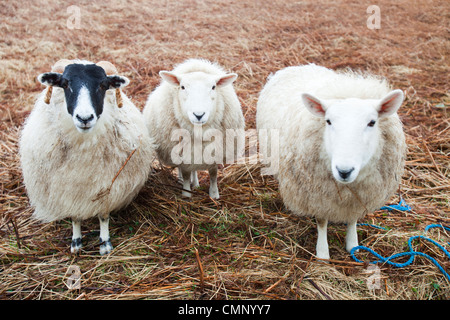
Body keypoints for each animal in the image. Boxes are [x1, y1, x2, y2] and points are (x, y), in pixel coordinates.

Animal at [19, 59, 155, 255]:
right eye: (64, 84)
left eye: (103, 85)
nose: (85, 118)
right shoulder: (69, 192)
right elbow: (75, 217)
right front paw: (76, 242)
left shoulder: (107, 189)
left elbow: (104, 216)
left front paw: (105, 244)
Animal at [143, 57, 244, 198]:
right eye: (182, 87)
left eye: (213, 87)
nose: (199, 115)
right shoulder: (183, 154)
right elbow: (186, 174)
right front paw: (186, 194)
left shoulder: (215, 151)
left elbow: (213, 174)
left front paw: (214, 194)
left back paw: (196, 184)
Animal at [256, 63, 408, 260]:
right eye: (328, 121)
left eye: (372, 122)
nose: (344, 171)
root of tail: (298, 66)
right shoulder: (317, 195)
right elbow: (322, 221)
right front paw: (322, 253)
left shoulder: (358, 195)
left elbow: (352, 218)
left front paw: (353, 245)